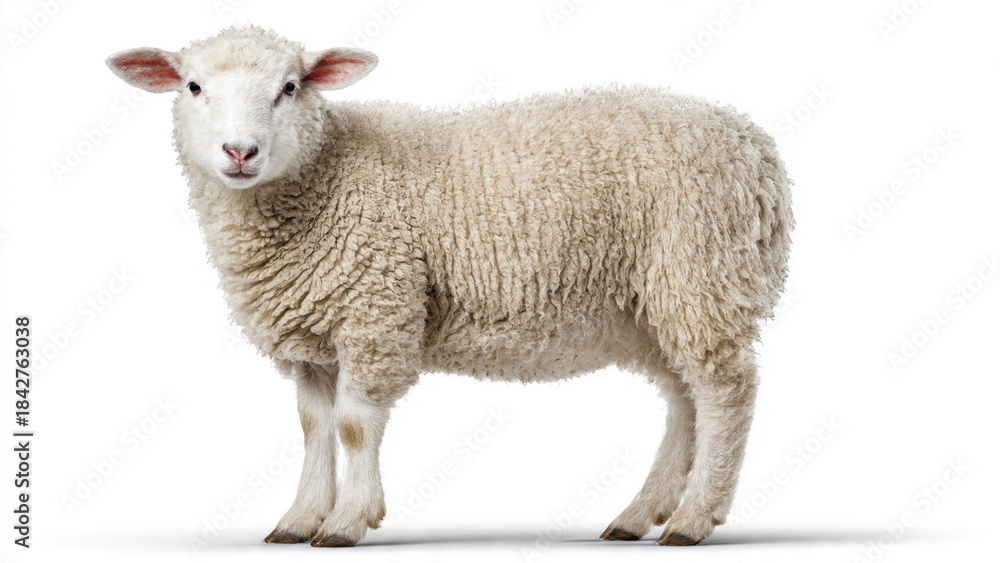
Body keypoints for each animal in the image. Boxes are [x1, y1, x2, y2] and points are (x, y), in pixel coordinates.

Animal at [106, 25, 793, 547]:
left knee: (724, 392)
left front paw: (348, 522)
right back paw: (640, 514)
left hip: (699, 270)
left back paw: (693, 519)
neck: (326, 177)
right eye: (194, 87)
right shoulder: (313, 337)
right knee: (683, 398)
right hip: (653, 303)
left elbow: (354, 427)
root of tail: (755, 147)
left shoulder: (376, 310)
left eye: (289, 88)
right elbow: (312, 428)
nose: (239, 152)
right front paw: (299, 520)